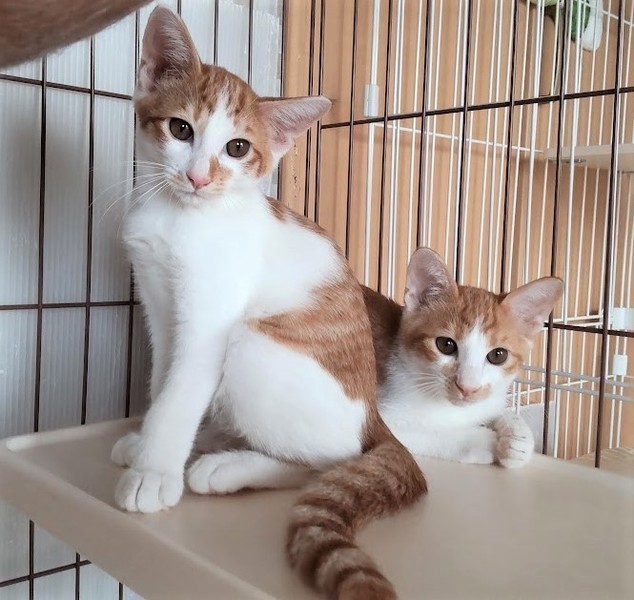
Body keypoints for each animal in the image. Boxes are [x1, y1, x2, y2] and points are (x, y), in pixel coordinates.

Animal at [109, 7, 426, 600]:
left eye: (238, 148)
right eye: (180, 129)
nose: (198, 176)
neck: (180, 217)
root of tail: (374, 413)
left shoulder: (210, 318)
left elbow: (180, 393)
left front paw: (153, 473)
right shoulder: (160, 307)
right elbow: (162, 381)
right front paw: (144, 441)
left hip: (253, 341)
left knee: (331, 458)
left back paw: (227, 468)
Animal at [363, 247, 564, 467]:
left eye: (498, 355)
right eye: (446, 345)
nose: (467, 388)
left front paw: (518, 438)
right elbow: (431, 433)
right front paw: (485, 440)